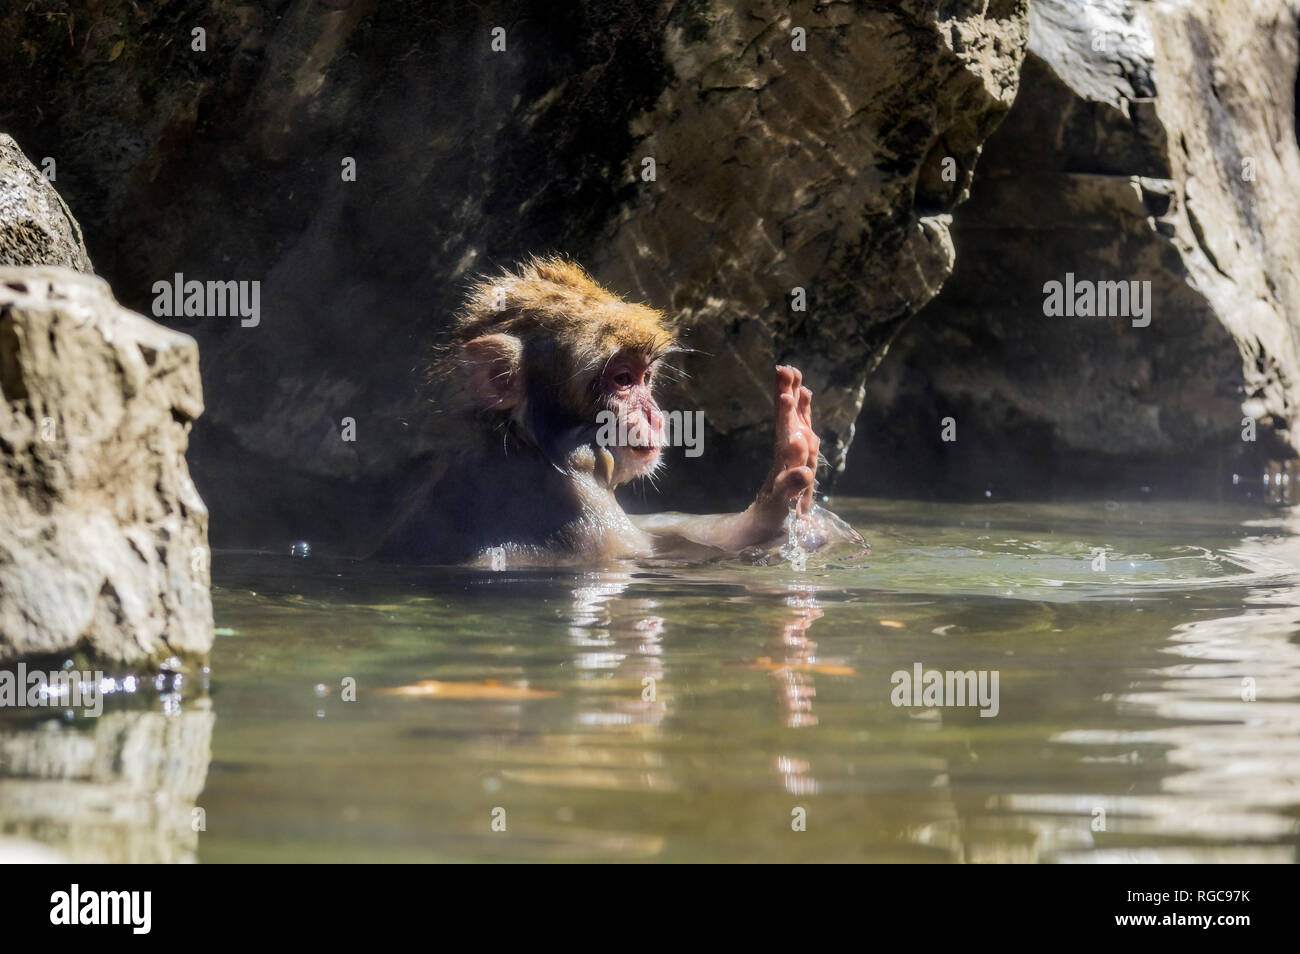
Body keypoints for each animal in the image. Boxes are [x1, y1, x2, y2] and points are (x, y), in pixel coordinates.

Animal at [377, 256, 863, 566]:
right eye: (621, 380)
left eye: (644, 378)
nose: (654, 415)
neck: (528, 443)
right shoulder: (570, 502)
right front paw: (778, 500)